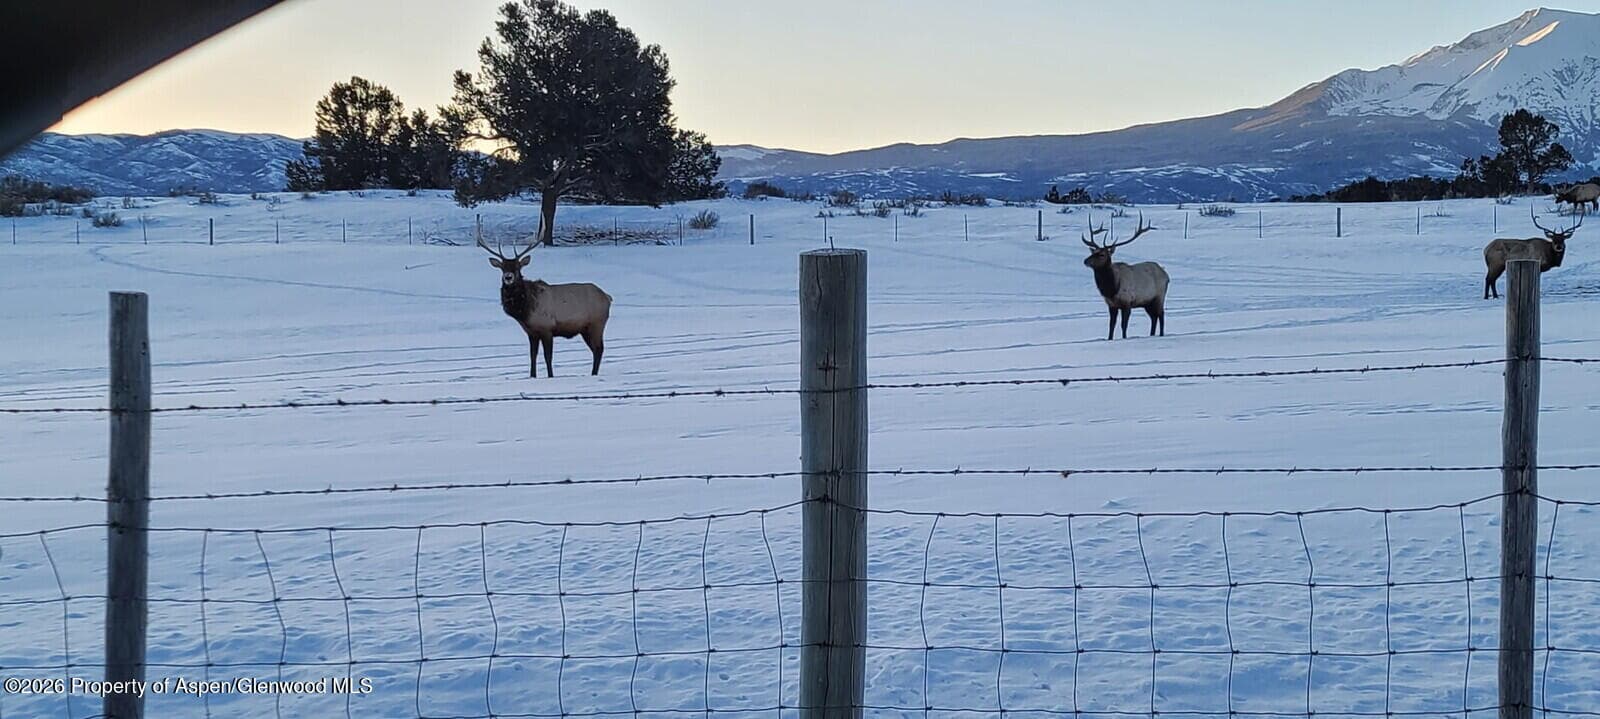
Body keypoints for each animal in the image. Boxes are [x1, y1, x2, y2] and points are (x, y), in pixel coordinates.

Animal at [478, 234, 612, 377]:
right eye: (502, 267)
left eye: (518, 267)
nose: (508, 277)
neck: (525, 310)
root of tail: (607, 297)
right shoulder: (531, 332)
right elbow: (533, 355)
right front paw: (532, 375)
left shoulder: (547, 328)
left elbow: (548, 356)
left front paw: (550, 375)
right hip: (585, 329)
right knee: (595, 350)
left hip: (597, 324)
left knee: (599, 349)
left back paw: (594, 373)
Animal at [1081, 210, 1169, 340]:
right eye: (1094, 252)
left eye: (1102, 254)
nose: (1085, 261)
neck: (1112, 288)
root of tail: (1166, 275)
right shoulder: (1111, 305)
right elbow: (1111, 325)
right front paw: (1110, 338)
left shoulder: (1127, 302)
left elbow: (1124, 325)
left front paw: (1124, 338)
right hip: (1147, 302)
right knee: (1154, 317)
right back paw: (1151, 334)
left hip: (1159, 296)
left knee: (1161, 315)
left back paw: (1161, 334)